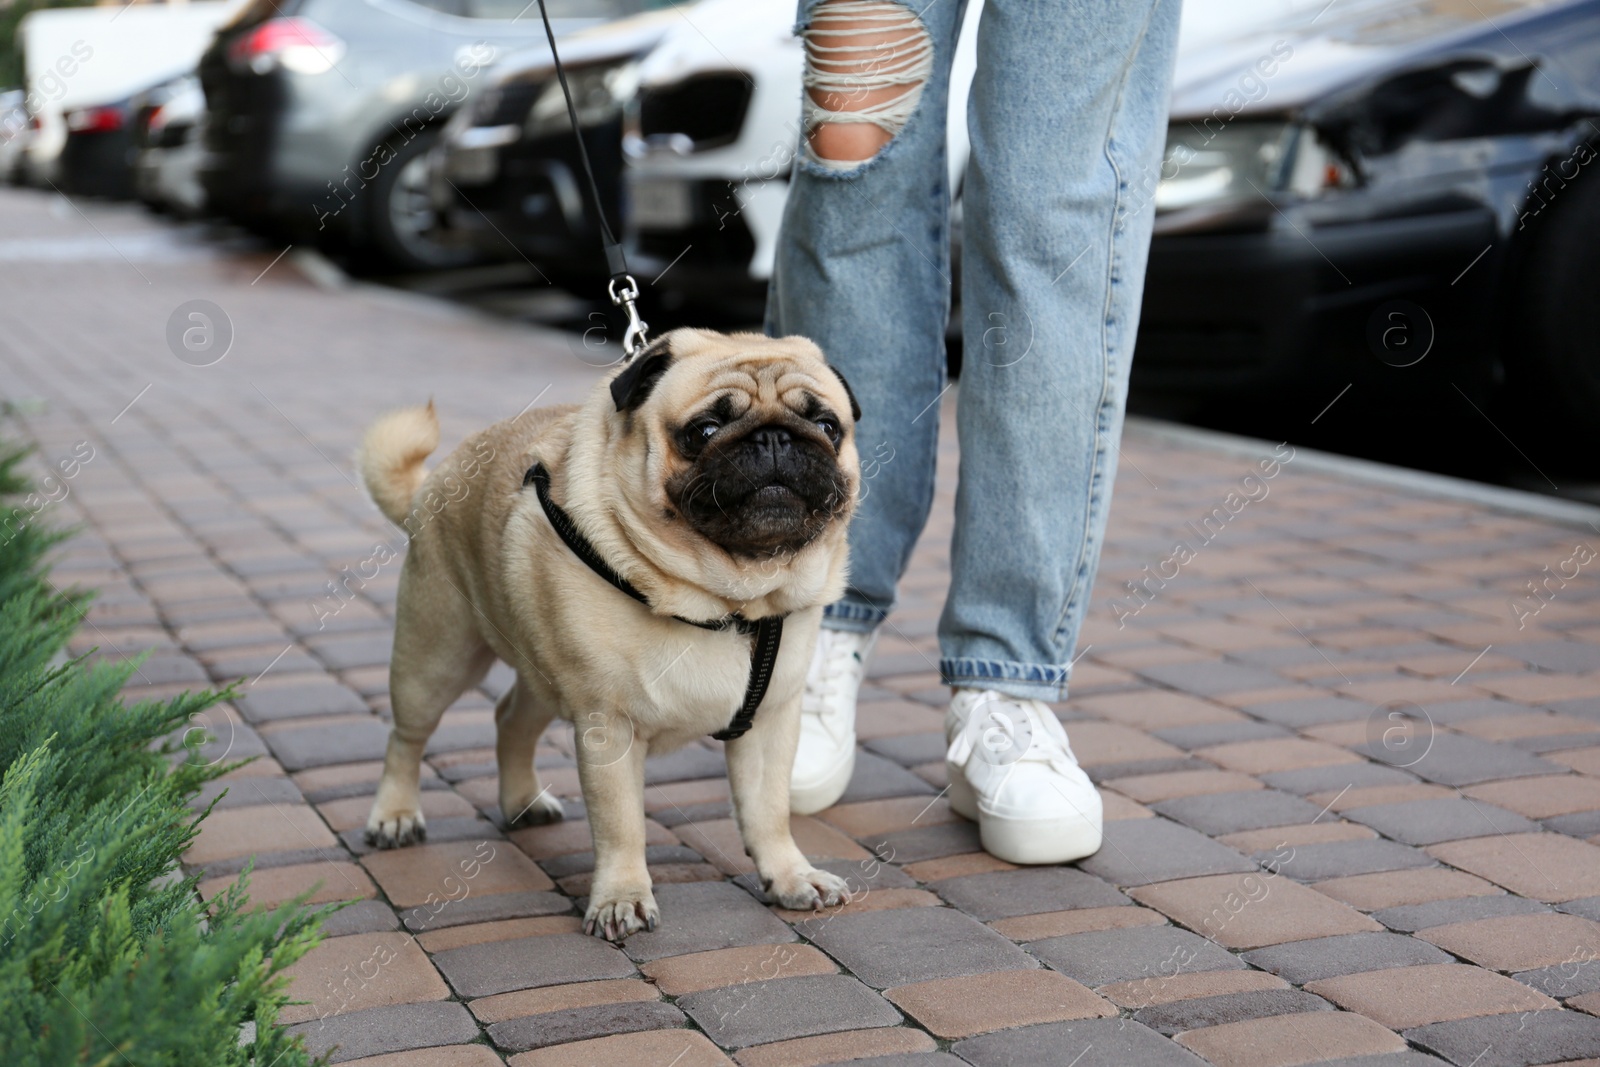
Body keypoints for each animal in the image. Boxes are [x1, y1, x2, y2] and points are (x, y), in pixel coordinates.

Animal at [360, 329, 864, 940]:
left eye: (828, 426)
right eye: (704, 431)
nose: (775, 437)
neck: (730, 598)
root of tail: (435, 481)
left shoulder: (771, 722)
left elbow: (768, 813)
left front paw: (790, 876)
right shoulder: (607, 727)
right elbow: (621, 824)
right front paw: (621, 898)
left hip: (541, 671)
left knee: (511, 720)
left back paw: (523, 802)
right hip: (438, 654)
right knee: (407, 736)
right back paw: (395, 816)